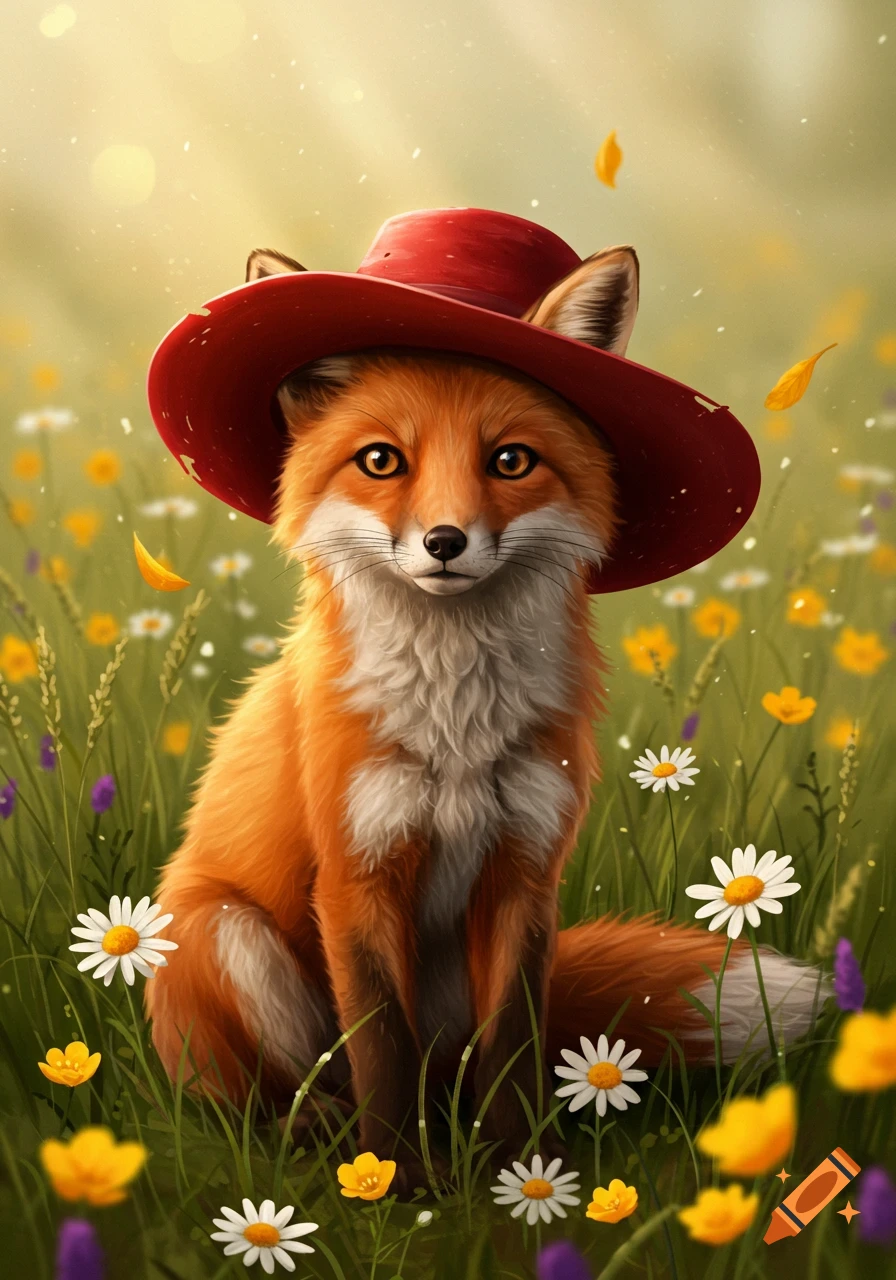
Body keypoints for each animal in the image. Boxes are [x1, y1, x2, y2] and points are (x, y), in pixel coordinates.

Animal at [145, 241, 826, 1187]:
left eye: (510, 461)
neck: (455, 727)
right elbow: (380, 1048)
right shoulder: (357, 878)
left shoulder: (524, 873)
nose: (444, 542)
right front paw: (390, 1180)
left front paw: (527, 1175)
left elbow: (513, 1042)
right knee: (253, 1101)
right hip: (228, 934)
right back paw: (317, 1131)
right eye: (381, 461)